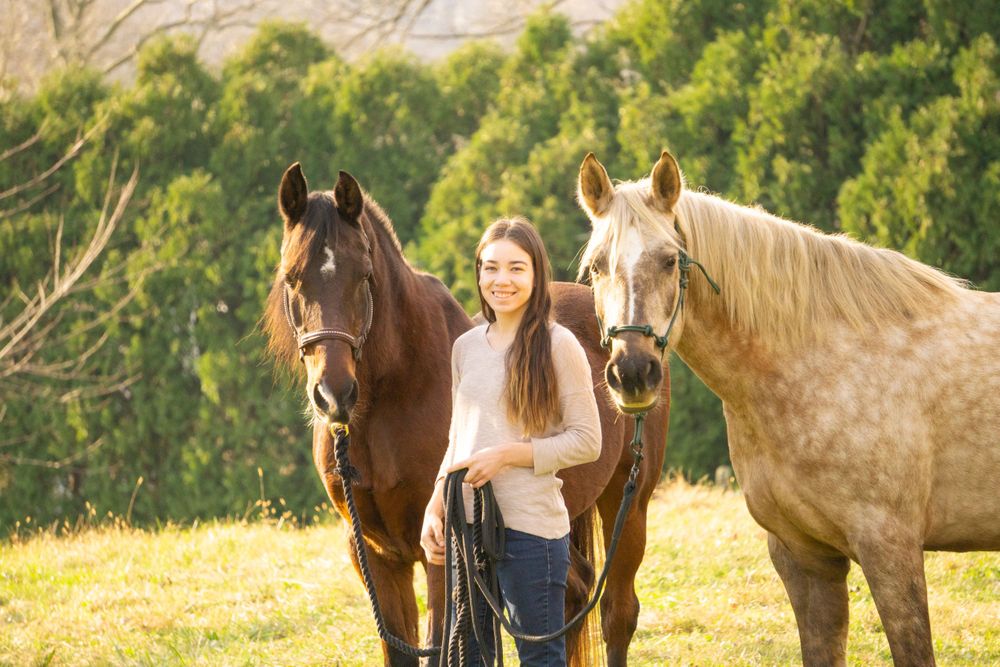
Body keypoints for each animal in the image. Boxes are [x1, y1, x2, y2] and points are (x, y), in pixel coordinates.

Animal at [262, 162, 669, 666]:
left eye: (364, 274)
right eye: (292, 277)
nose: (334, 393)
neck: (392, 401)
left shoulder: (440, 552)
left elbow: (441, 643)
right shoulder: (374, 555)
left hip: (629, 500)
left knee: (617, 613)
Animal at [576, 150, 1000, 666]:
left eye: (669, 260)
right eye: (596, 267)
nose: (633, 372)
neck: (822, 360)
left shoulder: (891, 550)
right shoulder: (804, 558)